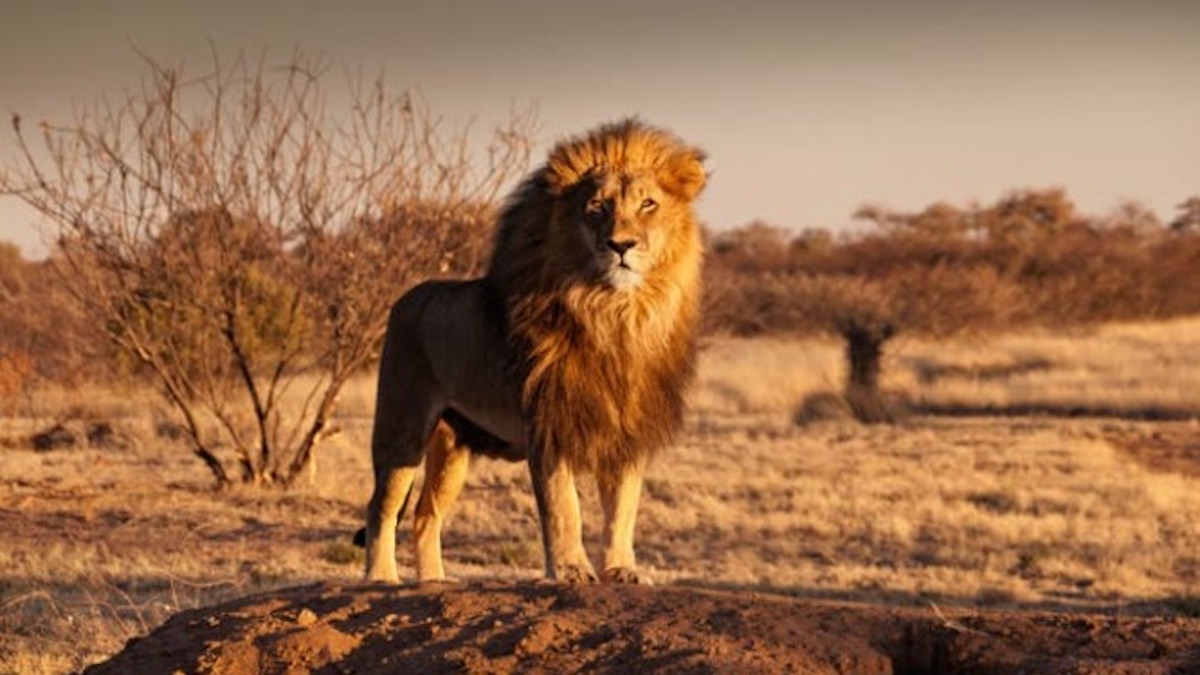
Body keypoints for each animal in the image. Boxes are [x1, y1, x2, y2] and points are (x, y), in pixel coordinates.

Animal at [360, 118, 705, 581]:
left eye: (648, 204)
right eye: (597, 206)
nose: (621, 245)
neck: (615, 315)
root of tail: (405, 298)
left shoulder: (627, 431)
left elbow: (623, 510)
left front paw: (621, 570)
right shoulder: (548, 425)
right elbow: (564, 506)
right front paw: (571, 569)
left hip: (452, 446)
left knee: (424, 514)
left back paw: (433, 582)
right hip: (403, 427)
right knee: (381, 507)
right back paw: (381, 578)